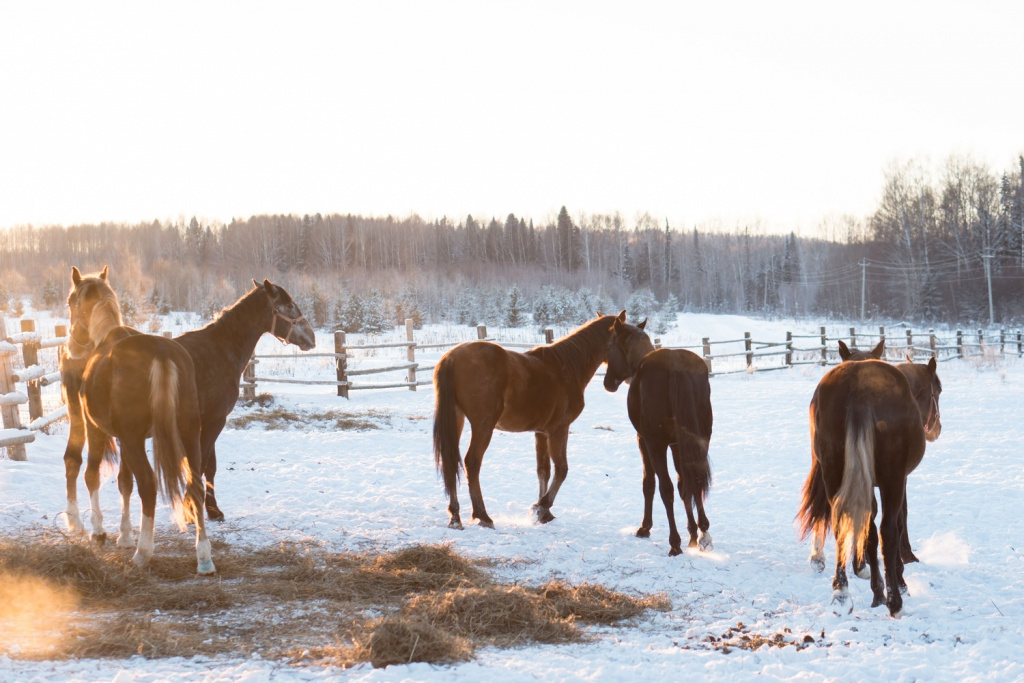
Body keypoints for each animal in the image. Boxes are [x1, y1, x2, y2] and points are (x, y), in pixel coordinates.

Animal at [61, 275, 316, 529]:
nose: (311, 337)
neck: (219, 349)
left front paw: (211, 509)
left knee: (77, 462)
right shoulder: (215, 420)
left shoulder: (206, 421)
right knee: (79, 464)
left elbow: (209, 466)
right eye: (289, 305)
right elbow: (201, 464)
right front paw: (192, 509)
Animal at [65, 267, 214, 575]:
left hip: (133, 440)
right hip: (188, 433)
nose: (72, 345)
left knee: (149, 483)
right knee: (195, 484)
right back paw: (204, 555)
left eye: (71, 302)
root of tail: (162, 352)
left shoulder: (98, 430)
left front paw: (99, 532)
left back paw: (143, 552)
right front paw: (124, 535)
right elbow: (124, 482)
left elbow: (92, 475)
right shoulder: (123, 439)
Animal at [433, 311, 625, 529]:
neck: (565, 366)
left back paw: (455, 516)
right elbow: (562, 469)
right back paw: (483, 515)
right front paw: (541, 507)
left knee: (450, 461)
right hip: (483, 426)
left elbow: (543, 471)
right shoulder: (559, 429)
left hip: (456, 420)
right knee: (472, 462)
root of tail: (451, 357)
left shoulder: (541, 432)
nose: (612, 383)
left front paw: (544, 513)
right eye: (625, 341)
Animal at [603, 317, 714, 556]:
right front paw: (693, 534)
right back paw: (703, 533)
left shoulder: (644, 440)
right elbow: (685, 486)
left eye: (610, 346)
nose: (607, 382)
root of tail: (676, 367)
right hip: (700, 440)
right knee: (694, 481)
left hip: (656, 444)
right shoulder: (677, 444)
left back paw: (674, 542)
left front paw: (645, 527)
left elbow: (650, 483)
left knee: (666, 488)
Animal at [801, 357, 940, 616]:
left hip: (833, 471)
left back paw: (843, 591)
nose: (937, 427)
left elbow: (868, 530)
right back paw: (895, 601)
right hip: (891, 479)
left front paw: (874, 585)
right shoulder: (899, 479)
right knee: (887, 530)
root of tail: (859, 389)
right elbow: (898, 523)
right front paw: (900, 577)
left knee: (842, 520)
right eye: (937, 390)